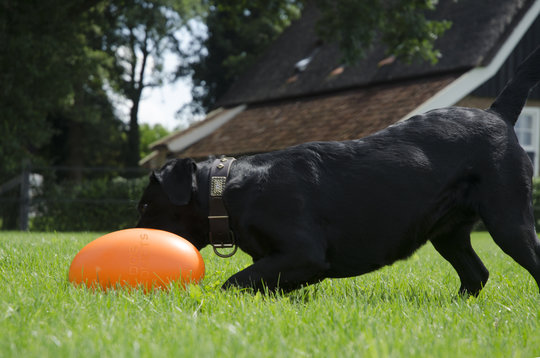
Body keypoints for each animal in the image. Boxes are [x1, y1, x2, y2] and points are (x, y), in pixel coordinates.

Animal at [136, 46, 540, 296]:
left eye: (145, 206)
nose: (134, 236)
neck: (231, 190)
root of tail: (497, 114)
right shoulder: (282, 261)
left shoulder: (304, 252)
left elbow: (235, 281)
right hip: (448, 231)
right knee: (477, 274)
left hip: (509, 219)